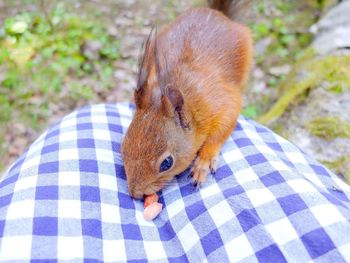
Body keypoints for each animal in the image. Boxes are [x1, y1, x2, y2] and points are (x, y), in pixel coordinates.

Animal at [120, 0, 252, 198]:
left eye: (167, 163)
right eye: (123, 147)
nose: (135, 194)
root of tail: (216, 13)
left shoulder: (222, 103)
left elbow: (223, 128)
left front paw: (203, 162)